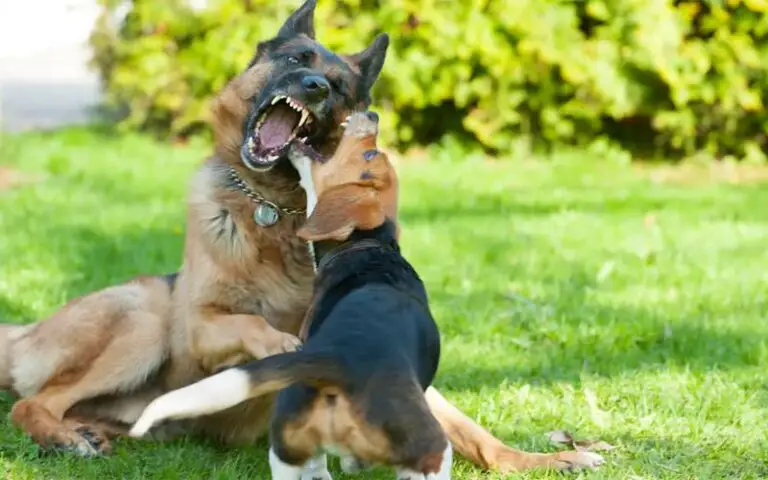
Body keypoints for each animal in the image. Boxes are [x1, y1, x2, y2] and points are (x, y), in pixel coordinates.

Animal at [130, 112, 456, 480]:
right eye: (372, 154)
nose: (372, 115)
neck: (370, 246)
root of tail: (339, 359)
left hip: (287, 444)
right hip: (431, 449)